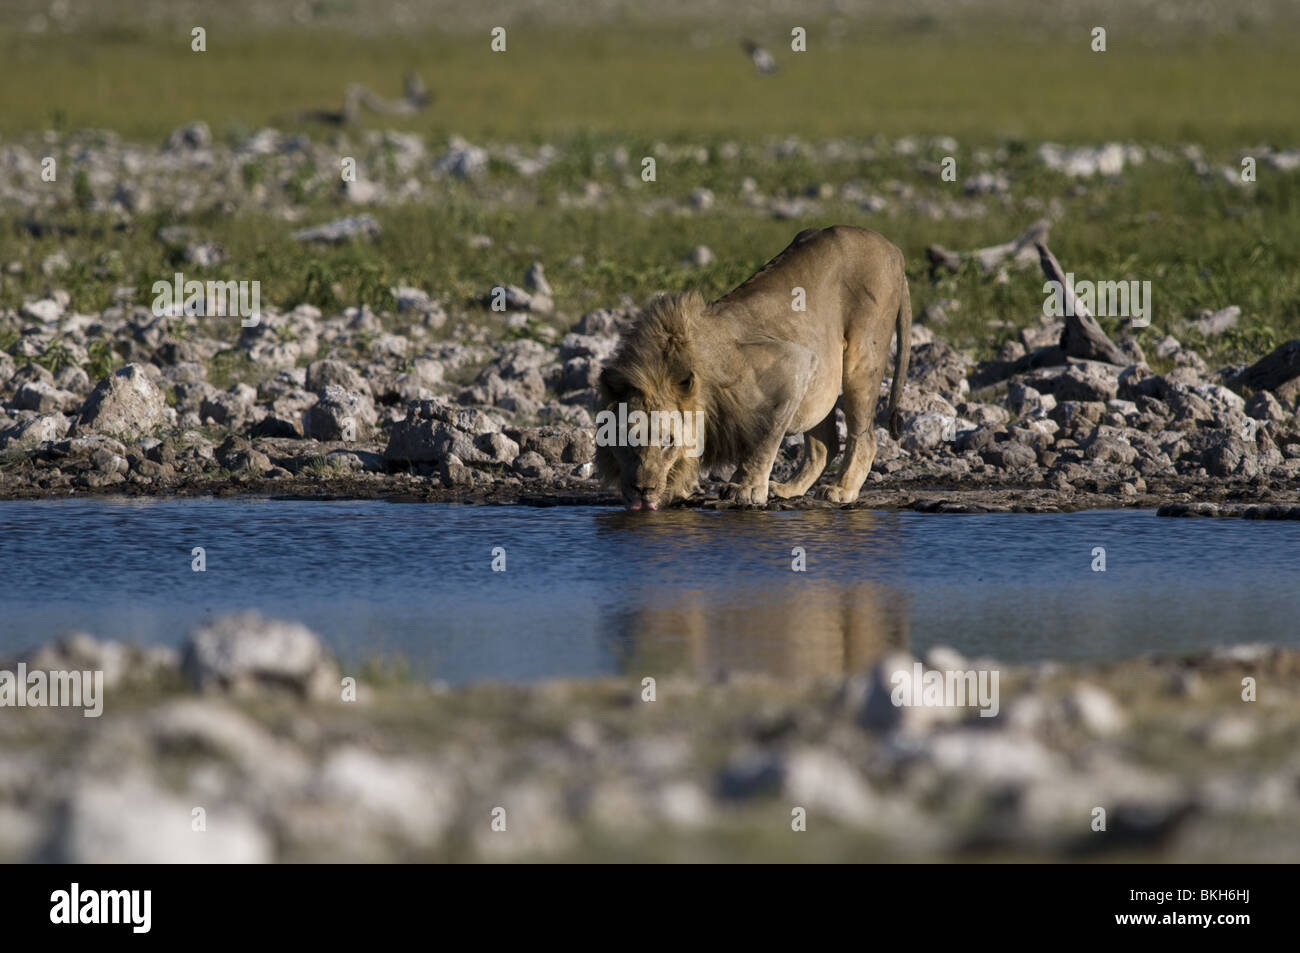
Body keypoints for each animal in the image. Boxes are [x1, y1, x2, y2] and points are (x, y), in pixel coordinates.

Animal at [595, 226, 909, 509]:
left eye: (667, 442)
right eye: (627, 440)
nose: (642, 490)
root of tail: (893, 248)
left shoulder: (796, 363)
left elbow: (764, 438)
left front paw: (744, 488)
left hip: (862, 356)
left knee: (864, 437)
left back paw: (842, 489)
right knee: (825, 444)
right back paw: (789, 488)